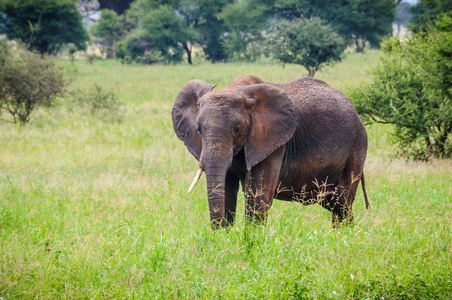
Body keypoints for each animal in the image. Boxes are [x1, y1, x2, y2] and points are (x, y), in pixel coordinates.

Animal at [171, 74, 370, 227]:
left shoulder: (273, 141)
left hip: (357, 146)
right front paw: (223, 241)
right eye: (198, 130)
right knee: (336, 204)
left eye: (237, 129)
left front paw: (252, 239)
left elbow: (258, 195)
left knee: (341, 203)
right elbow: (226, 190)